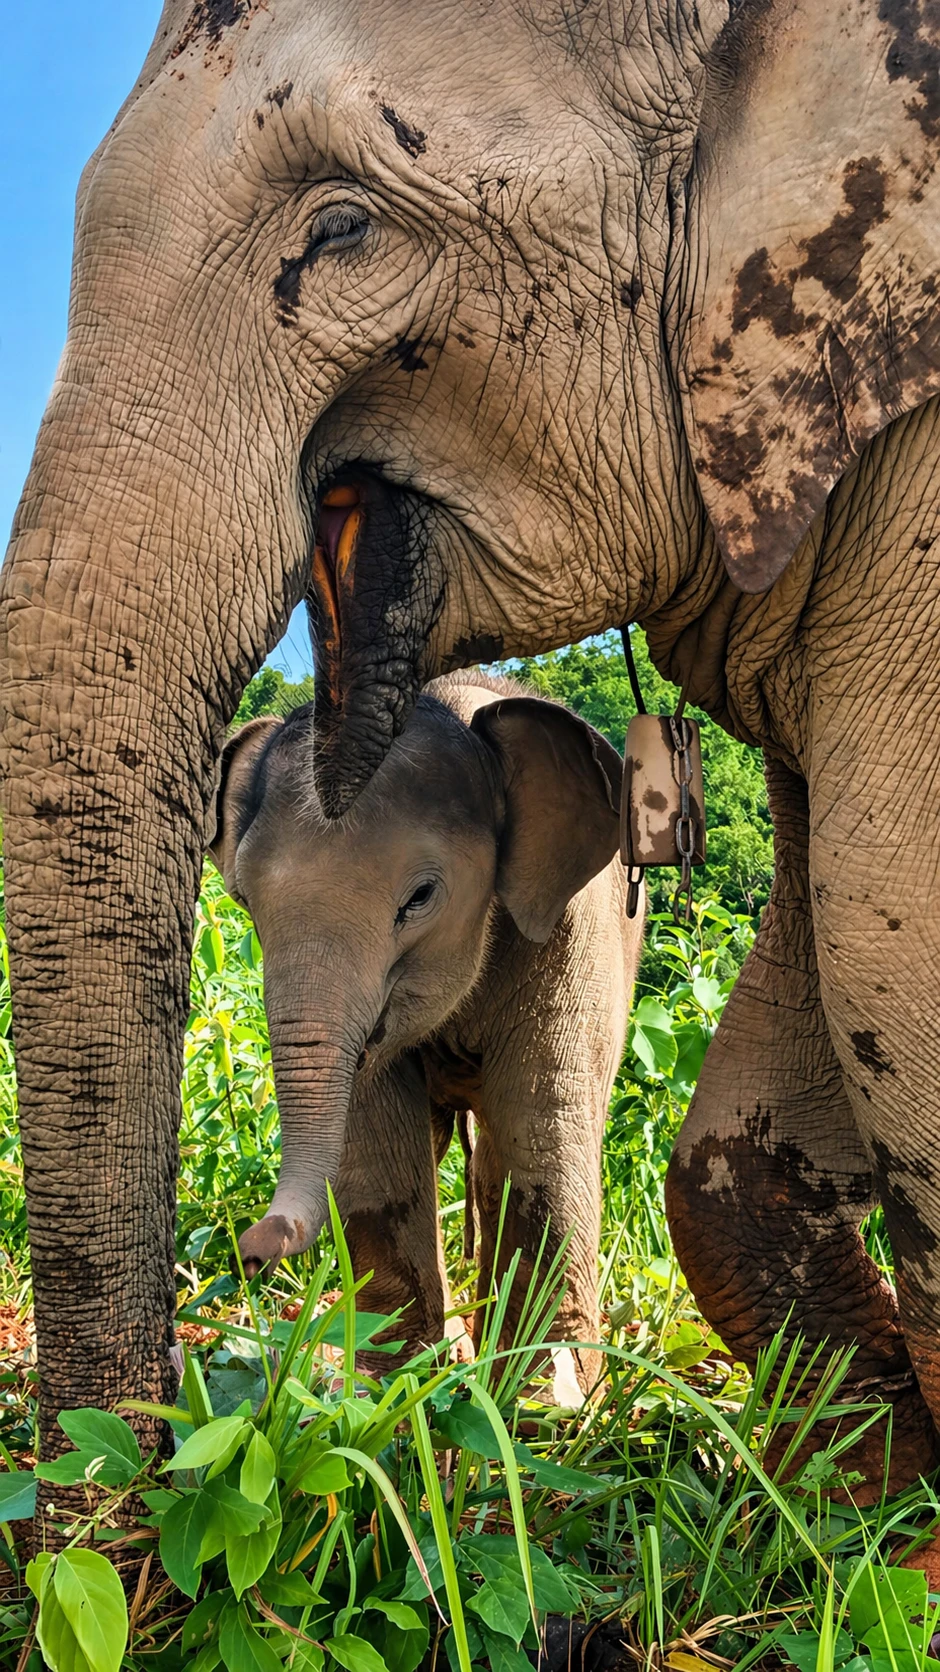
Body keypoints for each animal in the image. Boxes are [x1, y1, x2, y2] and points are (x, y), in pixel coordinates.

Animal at [208, 671, 641, 1381]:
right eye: (242, 898)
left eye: (420, 897)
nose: (251, 1248)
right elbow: (380, 1149)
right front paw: (392, 1389)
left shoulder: (575, 938)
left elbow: (542, 1135)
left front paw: (544, 1403)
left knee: (498, 1154)